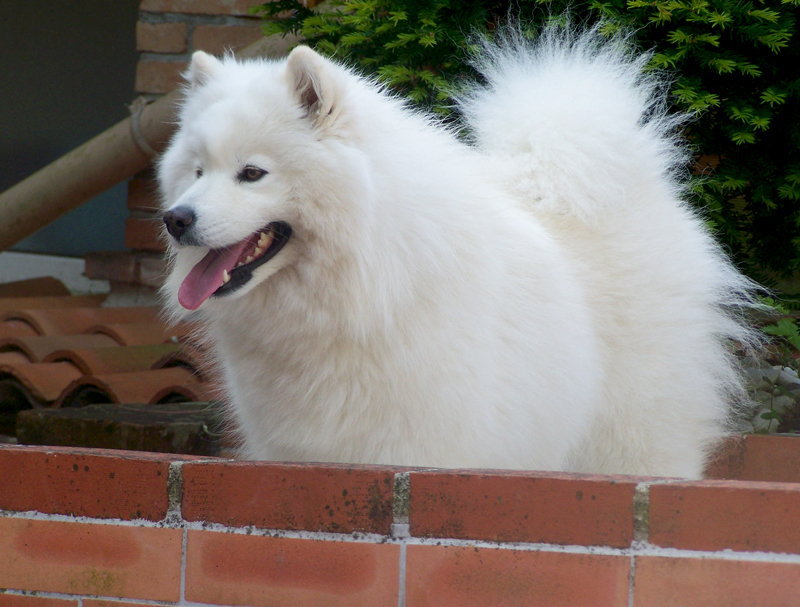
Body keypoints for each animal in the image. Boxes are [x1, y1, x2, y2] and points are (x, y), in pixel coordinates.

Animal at [159, 25, 760, 480]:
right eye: (197, 172)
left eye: (252, 173)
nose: (176, 219)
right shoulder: (293, 449)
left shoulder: (425, 448)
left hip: (629, 435)